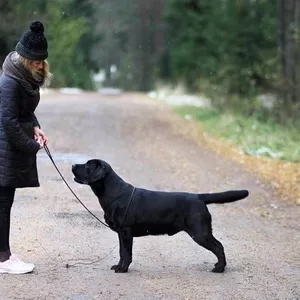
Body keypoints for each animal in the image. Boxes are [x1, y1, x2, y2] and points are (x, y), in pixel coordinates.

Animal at [72, 159, 248, 274]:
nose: (73, 165)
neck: (114, 193)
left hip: (200, 232)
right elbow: (122, 252)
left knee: (219, 247)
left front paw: (123, 269)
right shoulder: (122, 234)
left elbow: (126, 253)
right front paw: (118, 266)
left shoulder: (126, 232)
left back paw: (219, 268)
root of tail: (199, 197)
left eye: (87, 165)